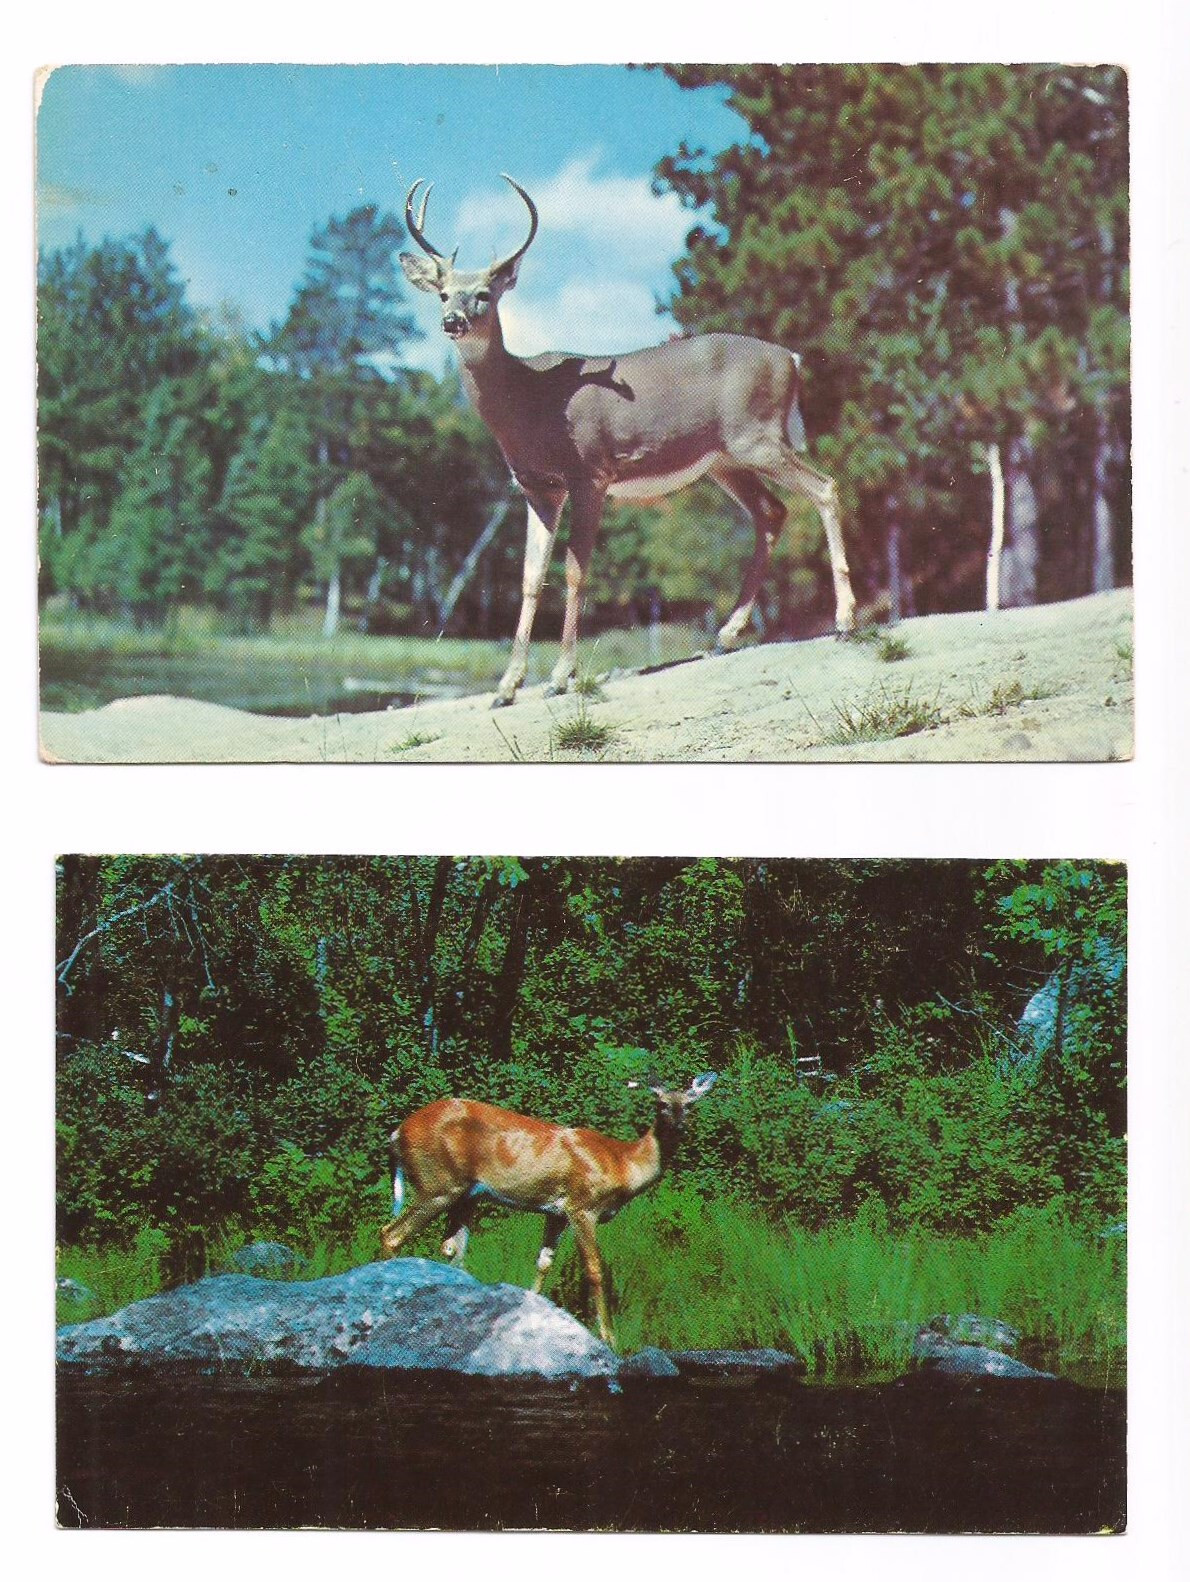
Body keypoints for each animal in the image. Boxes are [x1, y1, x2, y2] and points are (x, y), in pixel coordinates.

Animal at [379, 1071, 718, 1347]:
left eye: (690, 1105)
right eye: (660, 1104)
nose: (679, 1126)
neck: (622, 1163)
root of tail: (395, 1135)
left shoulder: (556, 1213)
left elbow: (544, 1262)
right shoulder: (583, 1206)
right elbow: (594, 1269)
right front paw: (609, 1338)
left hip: (465, 1196)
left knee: (451, 1249)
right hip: (438, 1183)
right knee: (391, 1233)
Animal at [398, 175, 857, 708]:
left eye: (485, 294)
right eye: (442, 294)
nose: (453, 322)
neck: (530, 400)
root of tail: (792, 359)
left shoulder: (590, 473)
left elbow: (575, 571)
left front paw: (561, 676)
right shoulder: (537, 487)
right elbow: (530, 577)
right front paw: (506, 686)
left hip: (756, 437)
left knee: (824, 487)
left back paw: (845, 620)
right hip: (723, 460)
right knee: (773, 511)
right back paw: (726, 634)